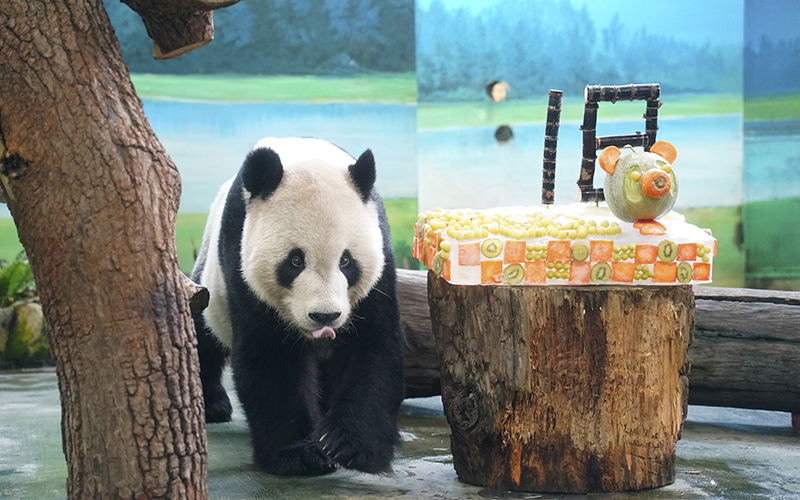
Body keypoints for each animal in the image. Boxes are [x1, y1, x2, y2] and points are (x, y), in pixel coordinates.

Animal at [192, 137, 406, 476]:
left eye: (346, 261)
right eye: (295, 261)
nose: (325, 316)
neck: (306, 155)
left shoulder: (378, 269)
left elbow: (372, 347)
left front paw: (349, 446)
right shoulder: (241, 266)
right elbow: (272, 358)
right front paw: (300, 454)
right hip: (211, 284)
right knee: (202, 333)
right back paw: (213, 404)